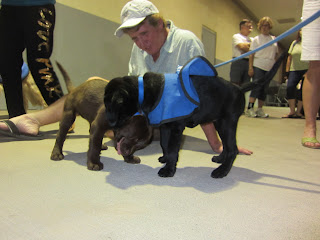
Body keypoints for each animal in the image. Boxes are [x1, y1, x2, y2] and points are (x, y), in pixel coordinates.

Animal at [104, 54, 284, 178]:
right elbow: (164, 144)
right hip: (220, 123)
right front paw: (165, 159)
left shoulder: (176, 128)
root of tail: (239, 88)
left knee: (233, 149)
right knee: (227, 147)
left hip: (227, 123)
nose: (109, 124)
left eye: (110, 105)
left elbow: (173, 149)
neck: (145, 90)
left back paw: (221, 171)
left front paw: (168, 170)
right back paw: (220, 159)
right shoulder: (166, 127)